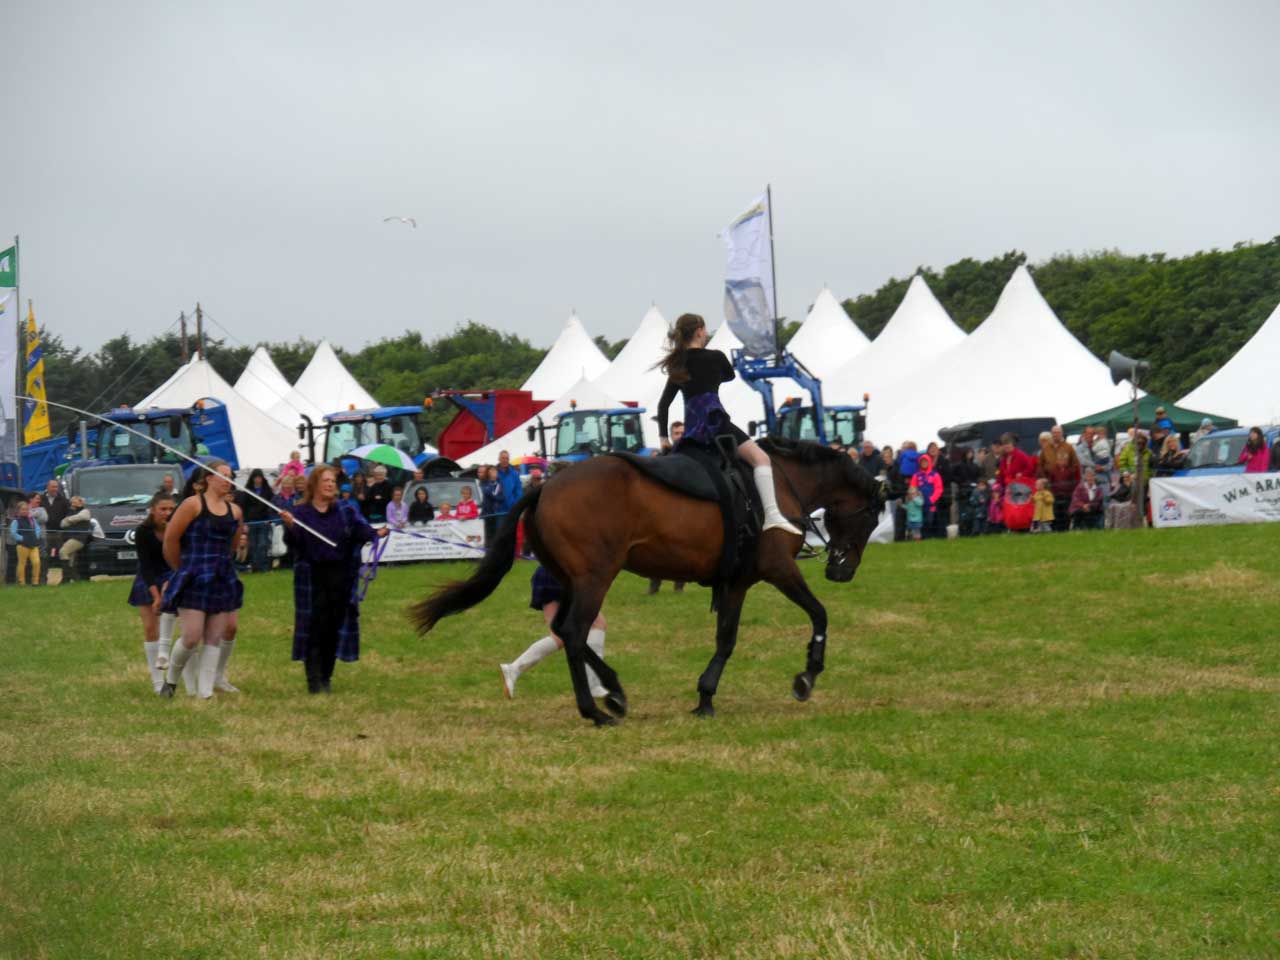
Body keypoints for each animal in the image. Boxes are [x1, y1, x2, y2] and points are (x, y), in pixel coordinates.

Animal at [414, 440, 885, 727]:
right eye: (870, 517)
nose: (842, 571)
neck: (781, 482)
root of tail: (546, 486)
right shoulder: (778, 570)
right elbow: (819, 613)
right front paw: (808, 675)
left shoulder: (736, 582)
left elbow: (726, 639)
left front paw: (705, 697)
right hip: (594, 578)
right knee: (573, 631)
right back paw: (597, 707)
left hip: (573, 581)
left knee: (565, 632)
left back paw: (611, 693)